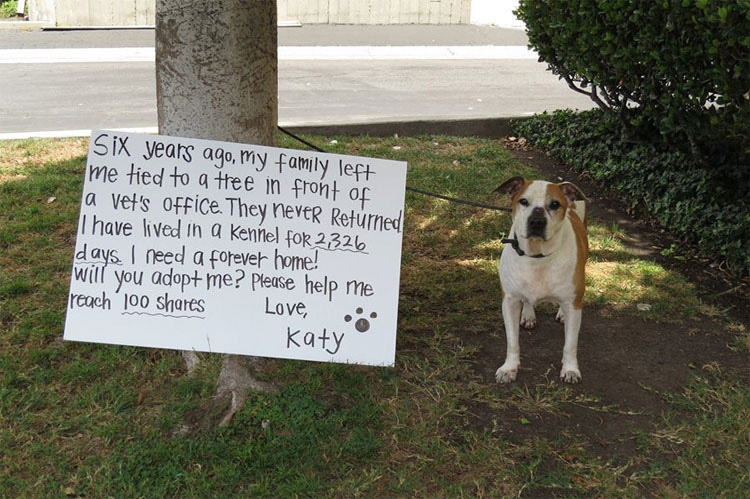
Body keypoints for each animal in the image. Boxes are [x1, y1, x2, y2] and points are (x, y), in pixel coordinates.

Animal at [496, 178, 592, 384]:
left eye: (554, 204)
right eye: (523, 201)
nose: (537, 221)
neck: (537, 256)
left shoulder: (573, 305)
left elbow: (570, 344)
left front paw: (570, 369)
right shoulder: (509, 301)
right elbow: (512, 341)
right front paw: (509, 368)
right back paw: (528, 314)